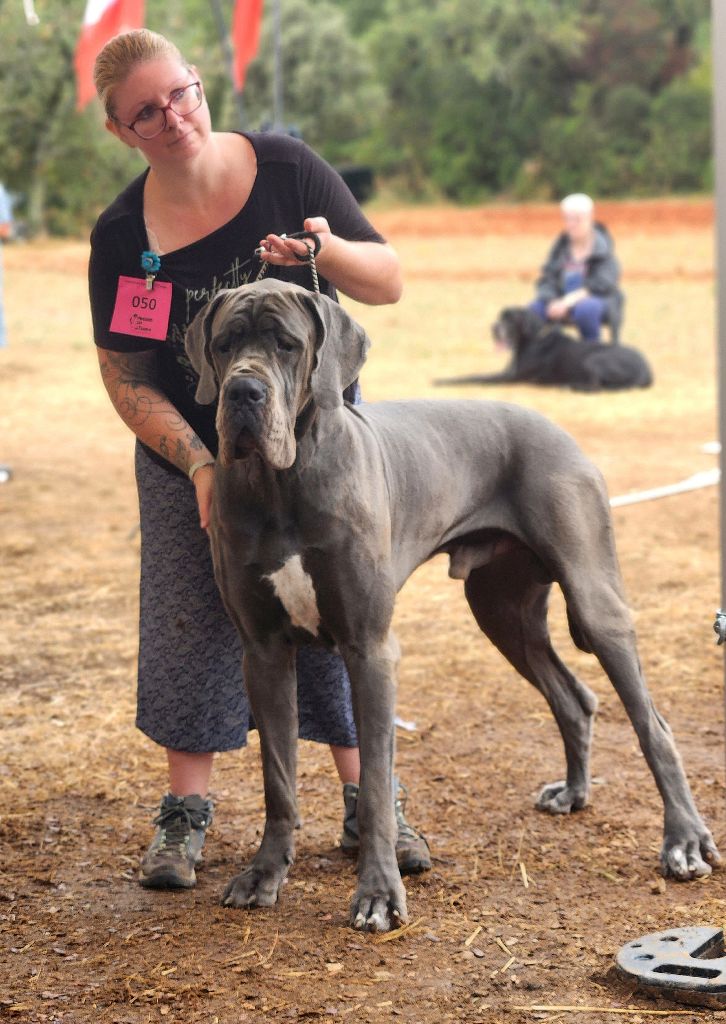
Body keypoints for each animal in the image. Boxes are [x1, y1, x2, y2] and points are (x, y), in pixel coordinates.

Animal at [434, 305, 655, 389]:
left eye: (510, 319)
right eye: (500, 317)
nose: (494, 327)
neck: (530, 341)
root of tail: (647, 371)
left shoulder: (510, 377)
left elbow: (476, 378)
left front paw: (443, 382)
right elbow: (474, 374)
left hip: (593, 359)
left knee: (595, 386)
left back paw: (569, 385)